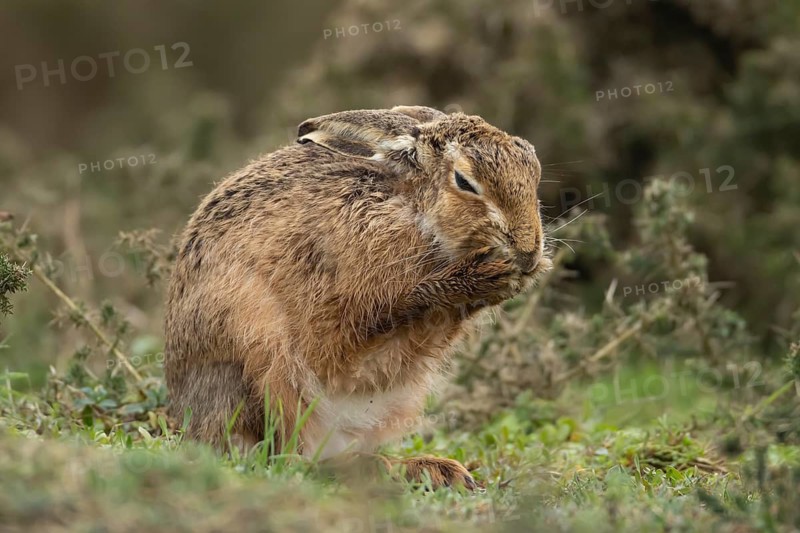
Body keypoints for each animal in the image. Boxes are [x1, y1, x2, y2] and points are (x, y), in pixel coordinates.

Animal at [164, 105, 551, 489]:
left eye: (533, 169)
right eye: (464, 182)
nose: (529, 251)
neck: (414, 214)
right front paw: (485, 275)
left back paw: (433, 469)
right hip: (257, 367)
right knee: (285, 457)